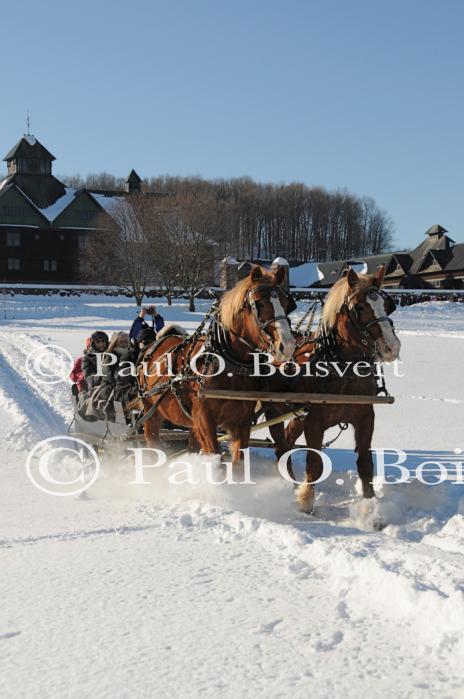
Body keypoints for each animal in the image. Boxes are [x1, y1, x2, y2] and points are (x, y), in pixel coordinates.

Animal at [140, 266, 296, 468]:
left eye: (286, 303)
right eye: (259, 303)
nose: (288, 345)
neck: (230, 368)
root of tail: (155, 343)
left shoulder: (241, 421)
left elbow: (238, 464)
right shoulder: (205, 419)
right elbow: (217, 461)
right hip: (151, 411)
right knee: (152, 441)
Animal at [262, 266, 400, 512]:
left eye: (388, 305)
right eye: (360, 307)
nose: (391, 347)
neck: (343, 369)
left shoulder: (365, 417)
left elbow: (365, 464)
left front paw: (370, 507)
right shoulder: (314, 421)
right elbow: (314, 464)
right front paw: (306, 504)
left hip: (297, 414)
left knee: (286, 442)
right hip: (274, 410)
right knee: (281, 447)